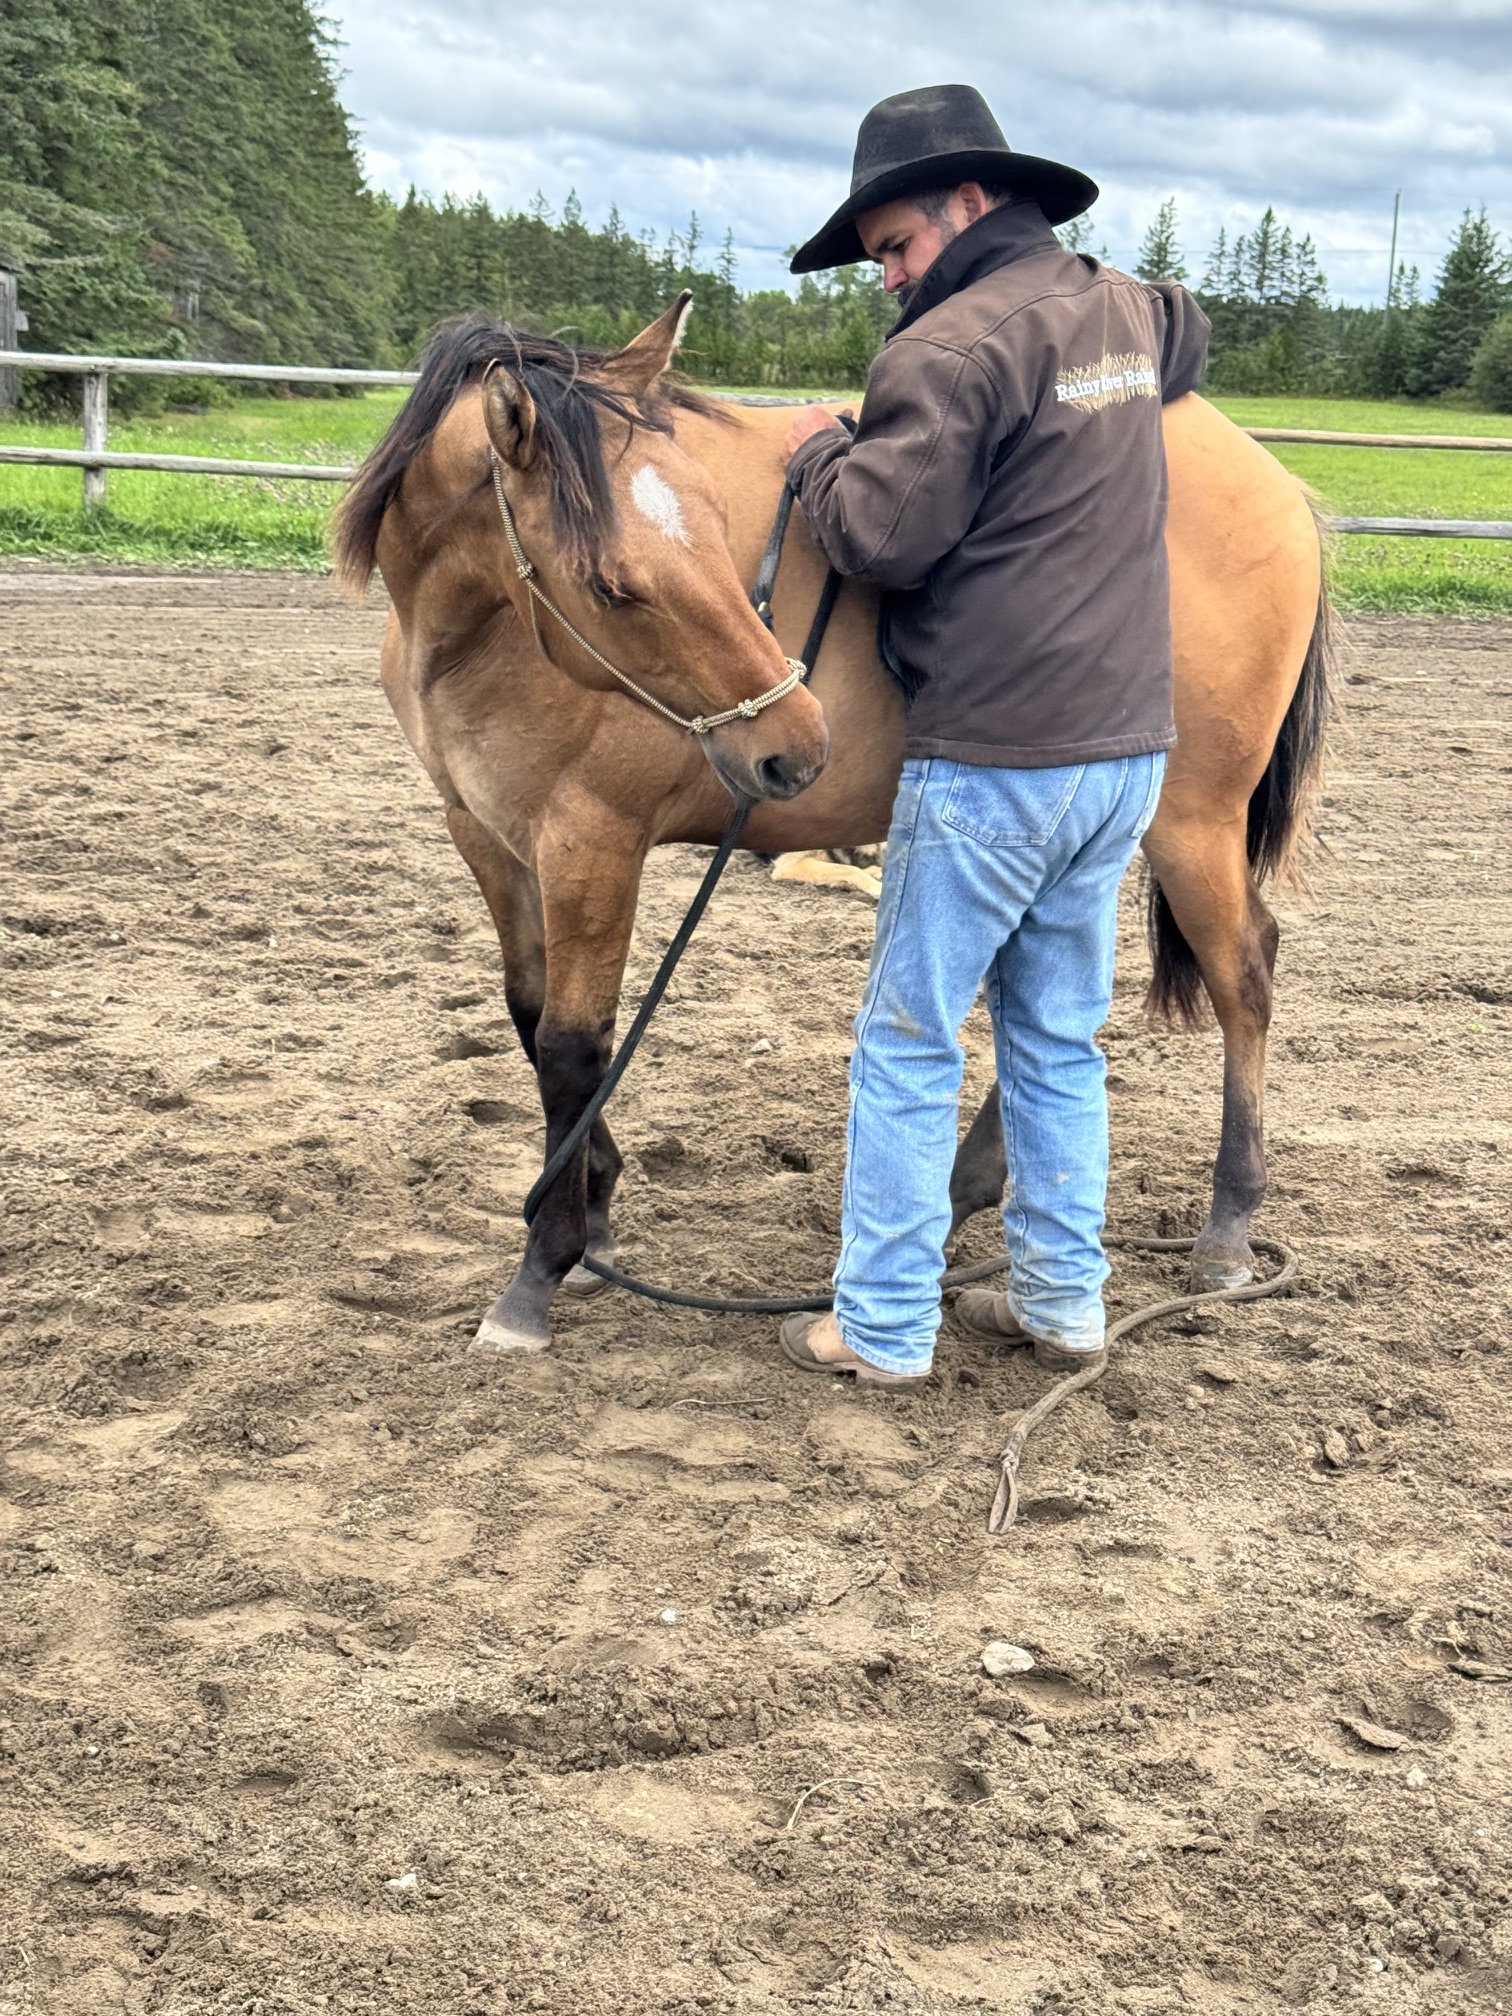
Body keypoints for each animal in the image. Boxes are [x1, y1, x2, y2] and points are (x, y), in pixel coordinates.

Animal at [335, 293, 1333, 1357]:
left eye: (715, 524)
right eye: (611, 585)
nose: (796, 742)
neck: (475, 637)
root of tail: (1278, 488)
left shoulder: (590, 844)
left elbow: (573, 1044)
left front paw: (542, 1268)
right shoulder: (487, 836)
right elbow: (529, 1020)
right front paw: (592, 1199)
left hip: (1192, 824)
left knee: (1243, 976)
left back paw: (1226, 1229)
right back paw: (969, 1190)